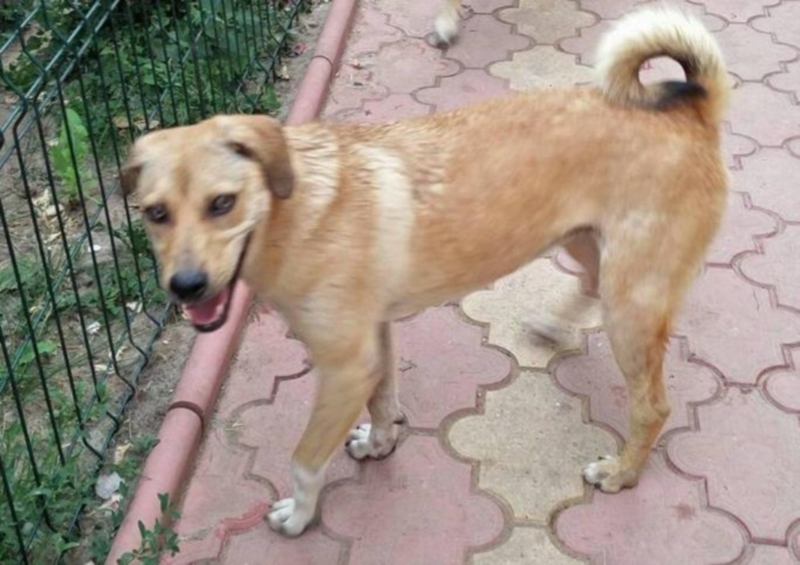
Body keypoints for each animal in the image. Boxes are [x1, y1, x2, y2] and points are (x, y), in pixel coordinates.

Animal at [121, 8, 729, 537]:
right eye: (155, 213)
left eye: (222, 204)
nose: (186, 287)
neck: (297, 206)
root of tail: (691, 111)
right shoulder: (374, 342)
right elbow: (384, 400)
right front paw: (379, 444)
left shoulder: (344, 367)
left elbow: (304, 457)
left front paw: (299, 514)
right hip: (585, 246)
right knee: (590, 284)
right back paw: (552, 327)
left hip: (633, 302)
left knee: (653, 405)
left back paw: (622, 472)